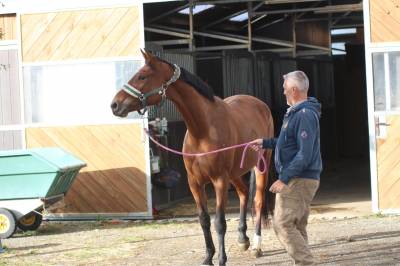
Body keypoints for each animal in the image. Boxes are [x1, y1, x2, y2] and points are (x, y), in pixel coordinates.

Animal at [111, 50, 276, 266]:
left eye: (142, 76)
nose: (114, 105)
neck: (203, 130)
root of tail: (260, 104)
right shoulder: (195, 182)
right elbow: (203, 219)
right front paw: (208, 257)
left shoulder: (219, 180)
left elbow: (219, 222)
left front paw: (221, 259)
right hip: (234, 173)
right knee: (242, 193)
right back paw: (242, 239)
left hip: (259, 166)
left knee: (257, 200)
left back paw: (257, 245)